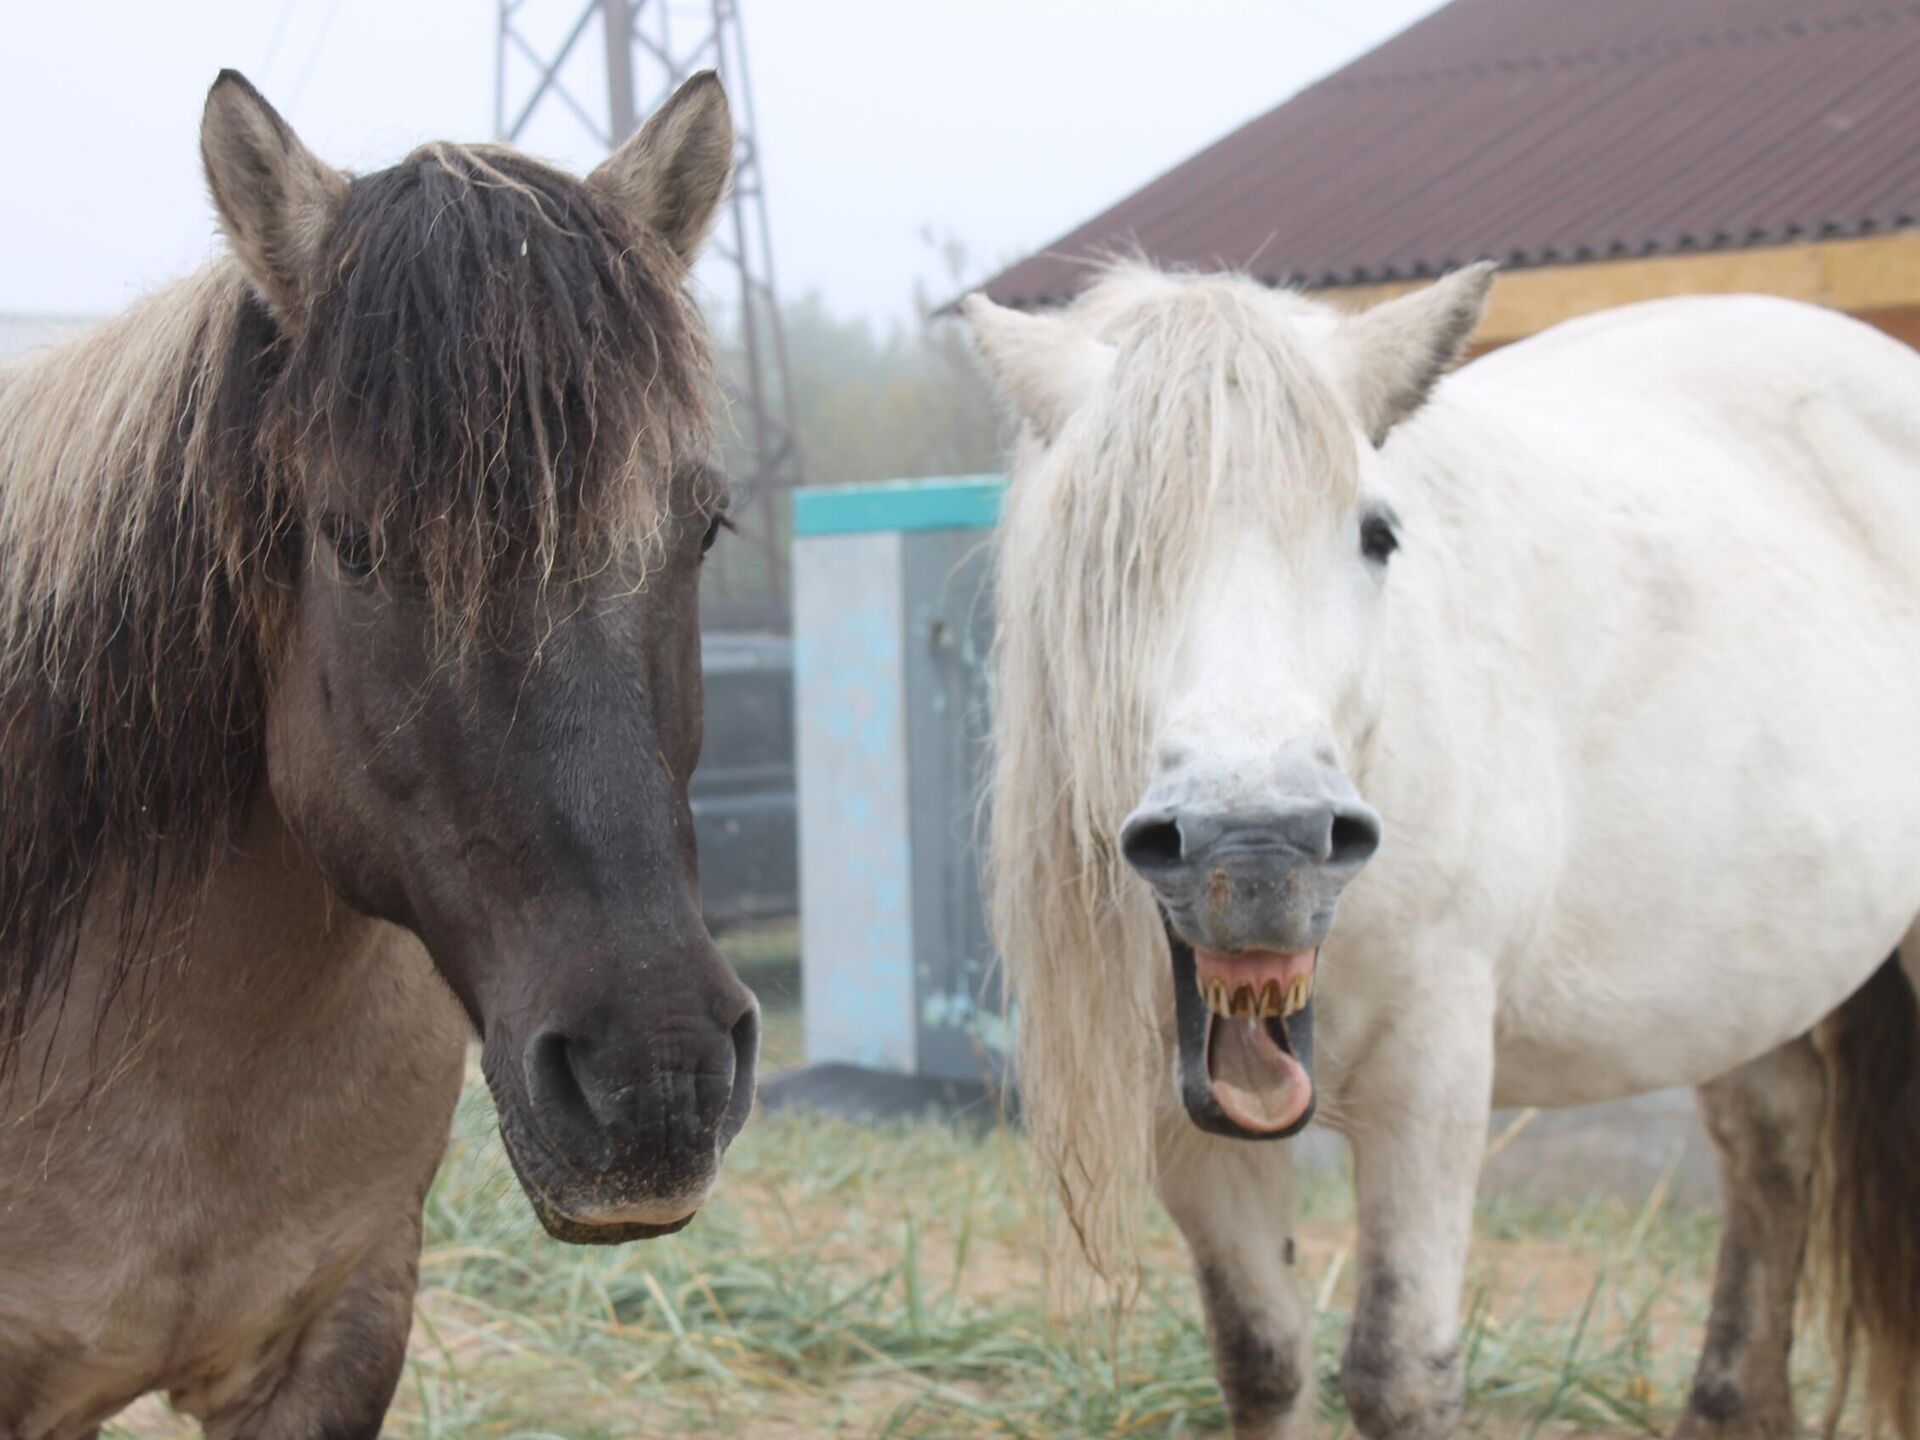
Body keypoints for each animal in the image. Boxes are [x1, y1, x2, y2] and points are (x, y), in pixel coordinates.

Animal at [967, 263, 1920, 1440]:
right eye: (1094, 545)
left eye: (1377, 535)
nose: (1259, 849)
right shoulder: (1184, 1113)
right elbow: (1261, 1356)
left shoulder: (1433, 1069)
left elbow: (1398, 1372)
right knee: (1773, 1143)